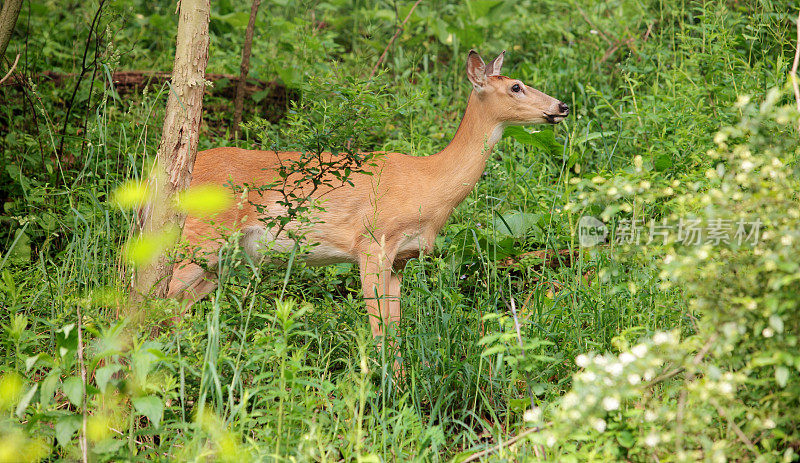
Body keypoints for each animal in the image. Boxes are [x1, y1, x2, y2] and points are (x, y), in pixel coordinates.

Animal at [169, 50, 568, 340]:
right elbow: (379, 334)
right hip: (198, 239)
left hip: (221, 259)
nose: (561, 106)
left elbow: (395, 333)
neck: (429, 183)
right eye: (516, 86)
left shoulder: (402, 258)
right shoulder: (373, 243)